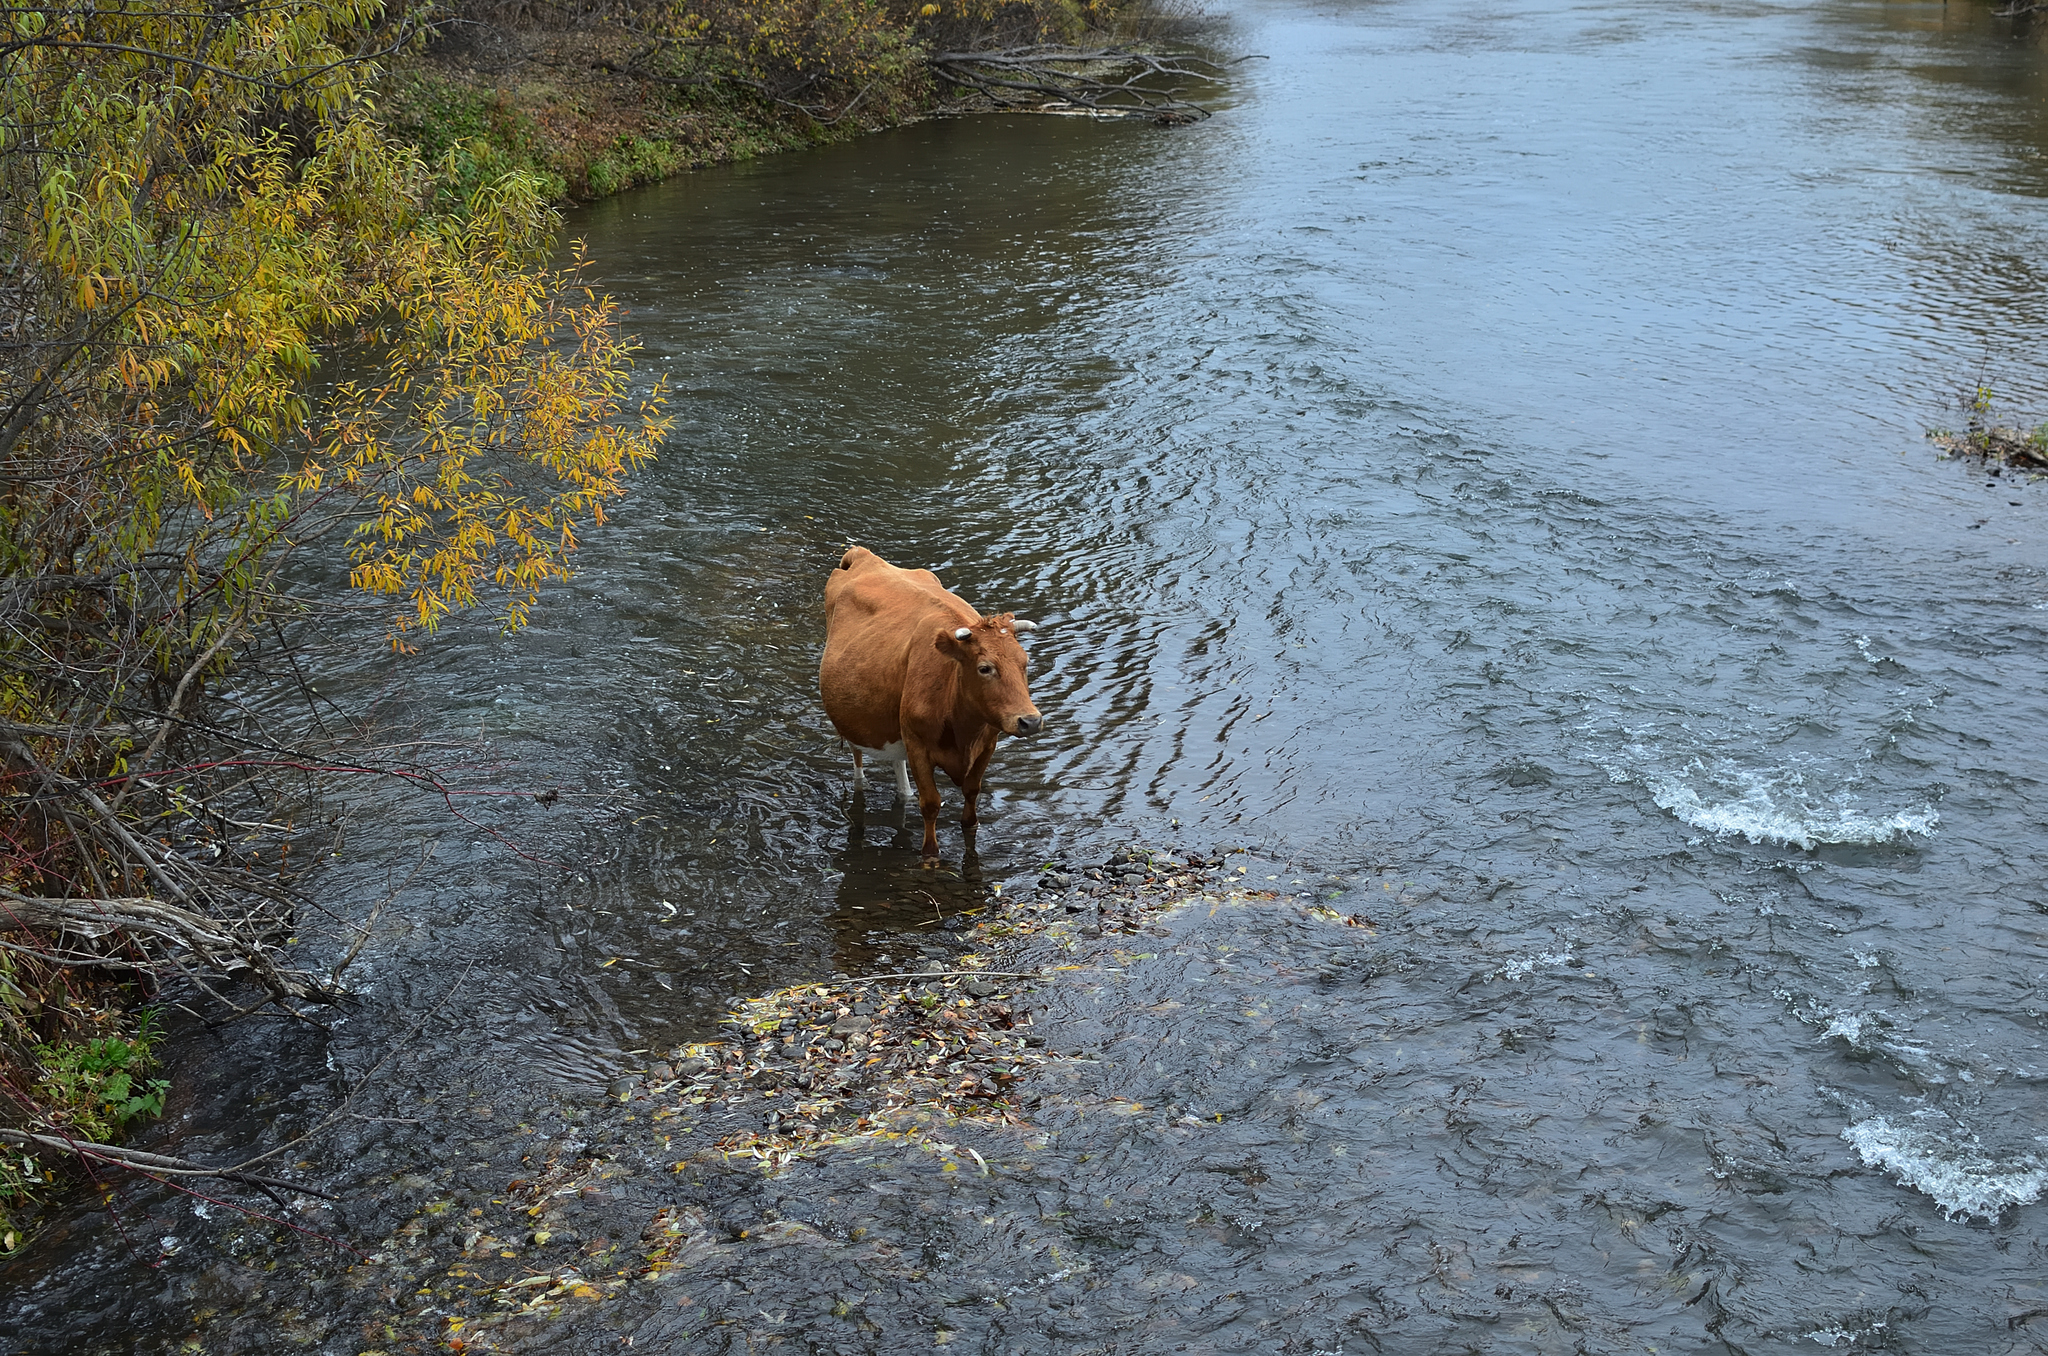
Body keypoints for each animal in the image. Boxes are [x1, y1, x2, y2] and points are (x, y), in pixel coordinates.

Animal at [815, 548, 1040, 864]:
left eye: (1025, 662)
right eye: (985, 668)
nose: (1030, 721)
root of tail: (864, 555)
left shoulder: (988, 743)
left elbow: (972, 792)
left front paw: (970, 828)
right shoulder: (918, 745)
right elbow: (931, 804)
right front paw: (930, 856)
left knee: (898, 768)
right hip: (853, 719)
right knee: (858, 757)